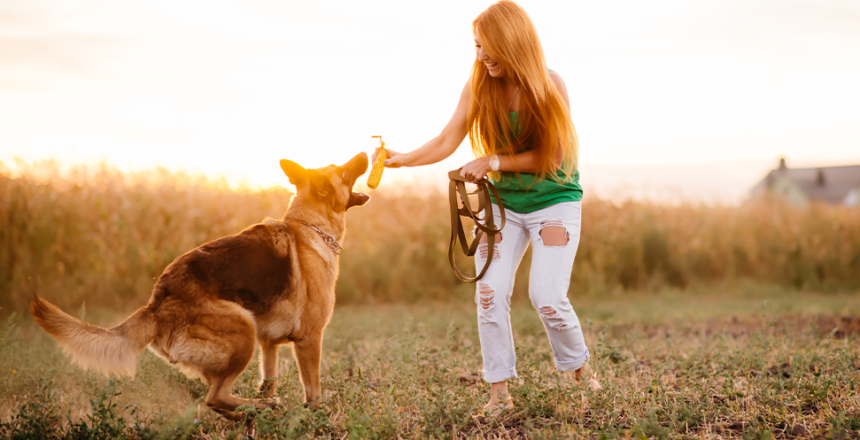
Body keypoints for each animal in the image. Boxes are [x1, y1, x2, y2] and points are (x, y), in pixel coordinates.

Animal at [29, 152, 370, 420]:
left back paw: (253, 412)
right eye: (342, 171)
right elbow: (313, 391)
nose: (366, 152)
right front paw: (317, 417)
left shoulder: (268, 344)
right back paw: (260, 410)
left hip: (239, 341)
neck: (309, 226)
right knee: (215, 397)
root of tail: (157, 303)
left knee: (220, 398)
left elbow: (269, 379)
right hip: (242, 328)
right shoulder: (310, 339)